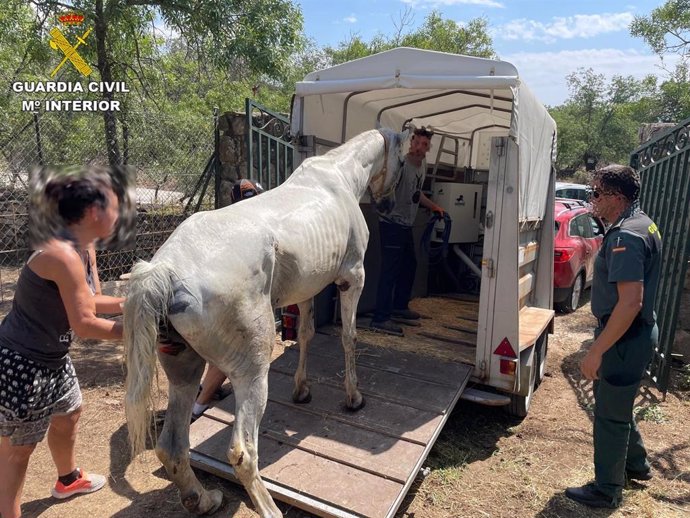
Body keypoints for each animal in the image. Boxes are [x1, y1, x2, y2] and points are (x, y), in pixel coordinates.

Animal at [123, 127, 406, 518]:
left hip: (183, 371)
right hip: (251, 372)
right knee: (242, 451)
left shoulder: (307, 289)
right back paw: (268, 508)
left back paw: (204, 499)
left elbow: (305, 334)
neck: (339, 176)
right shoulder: (352, 278)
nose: (390, 206)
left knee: (172, 447)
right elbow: (349, 337)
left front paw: (302, 390)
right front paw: (353, 397)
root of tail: (164, 270)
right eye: (404, 162)